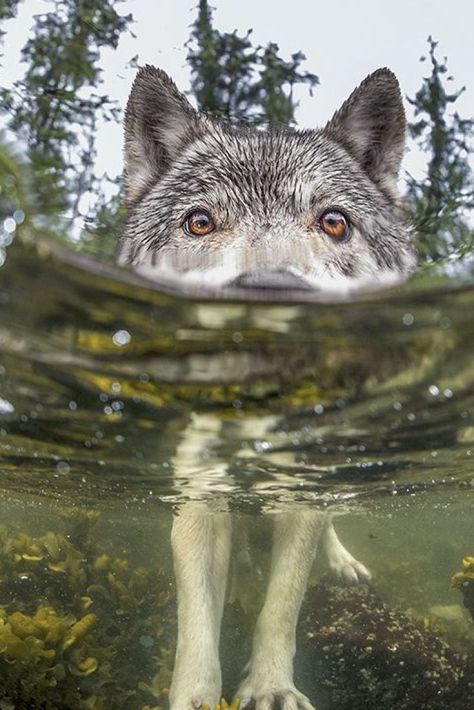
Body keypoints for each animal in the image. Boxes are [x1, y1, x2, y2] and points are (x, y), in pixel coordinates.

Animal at [120, 67, 416, 710]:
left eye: (334, 222)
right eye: (200, 222)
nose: (270, 292)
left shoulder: (299, 497)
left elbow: (282, 605)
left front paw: (273, 687)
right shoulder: (200, 499)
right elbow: (196, 626)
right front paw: (195, 697)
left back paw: (343, 562)